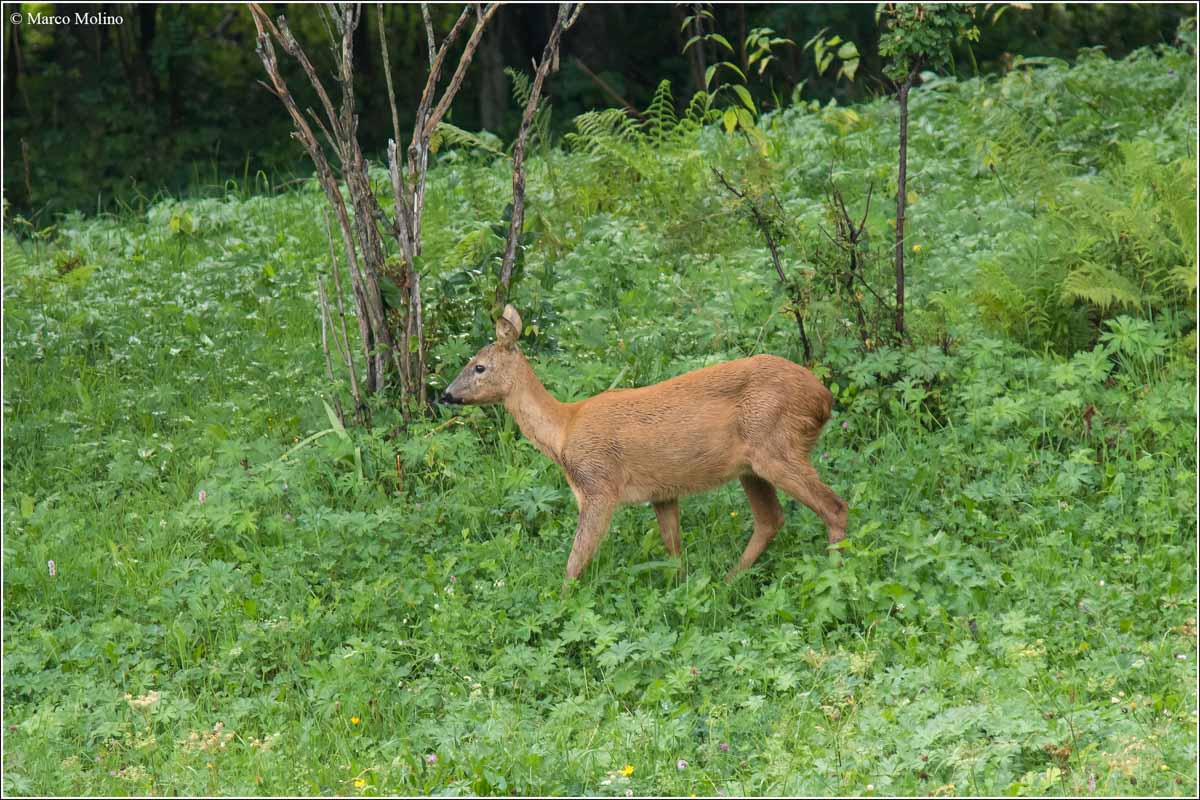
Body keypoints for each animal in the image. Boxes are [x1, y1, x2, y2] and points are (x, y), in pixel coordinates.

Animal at [439, 307, 844, 587]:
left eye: (478, 366)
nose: (445, 395)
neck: (564, 429)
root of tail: (824, 398)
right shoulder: (662, 492)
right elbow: (674, 552)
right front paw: (681, 590)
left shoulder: (598, 486)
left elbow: (574, 561)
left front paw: (561, 605)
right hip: (751, 465)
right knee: (770, 519)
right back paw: (729, 580)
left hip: (778, 445)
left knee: (834, 507)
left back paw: (834, 572)